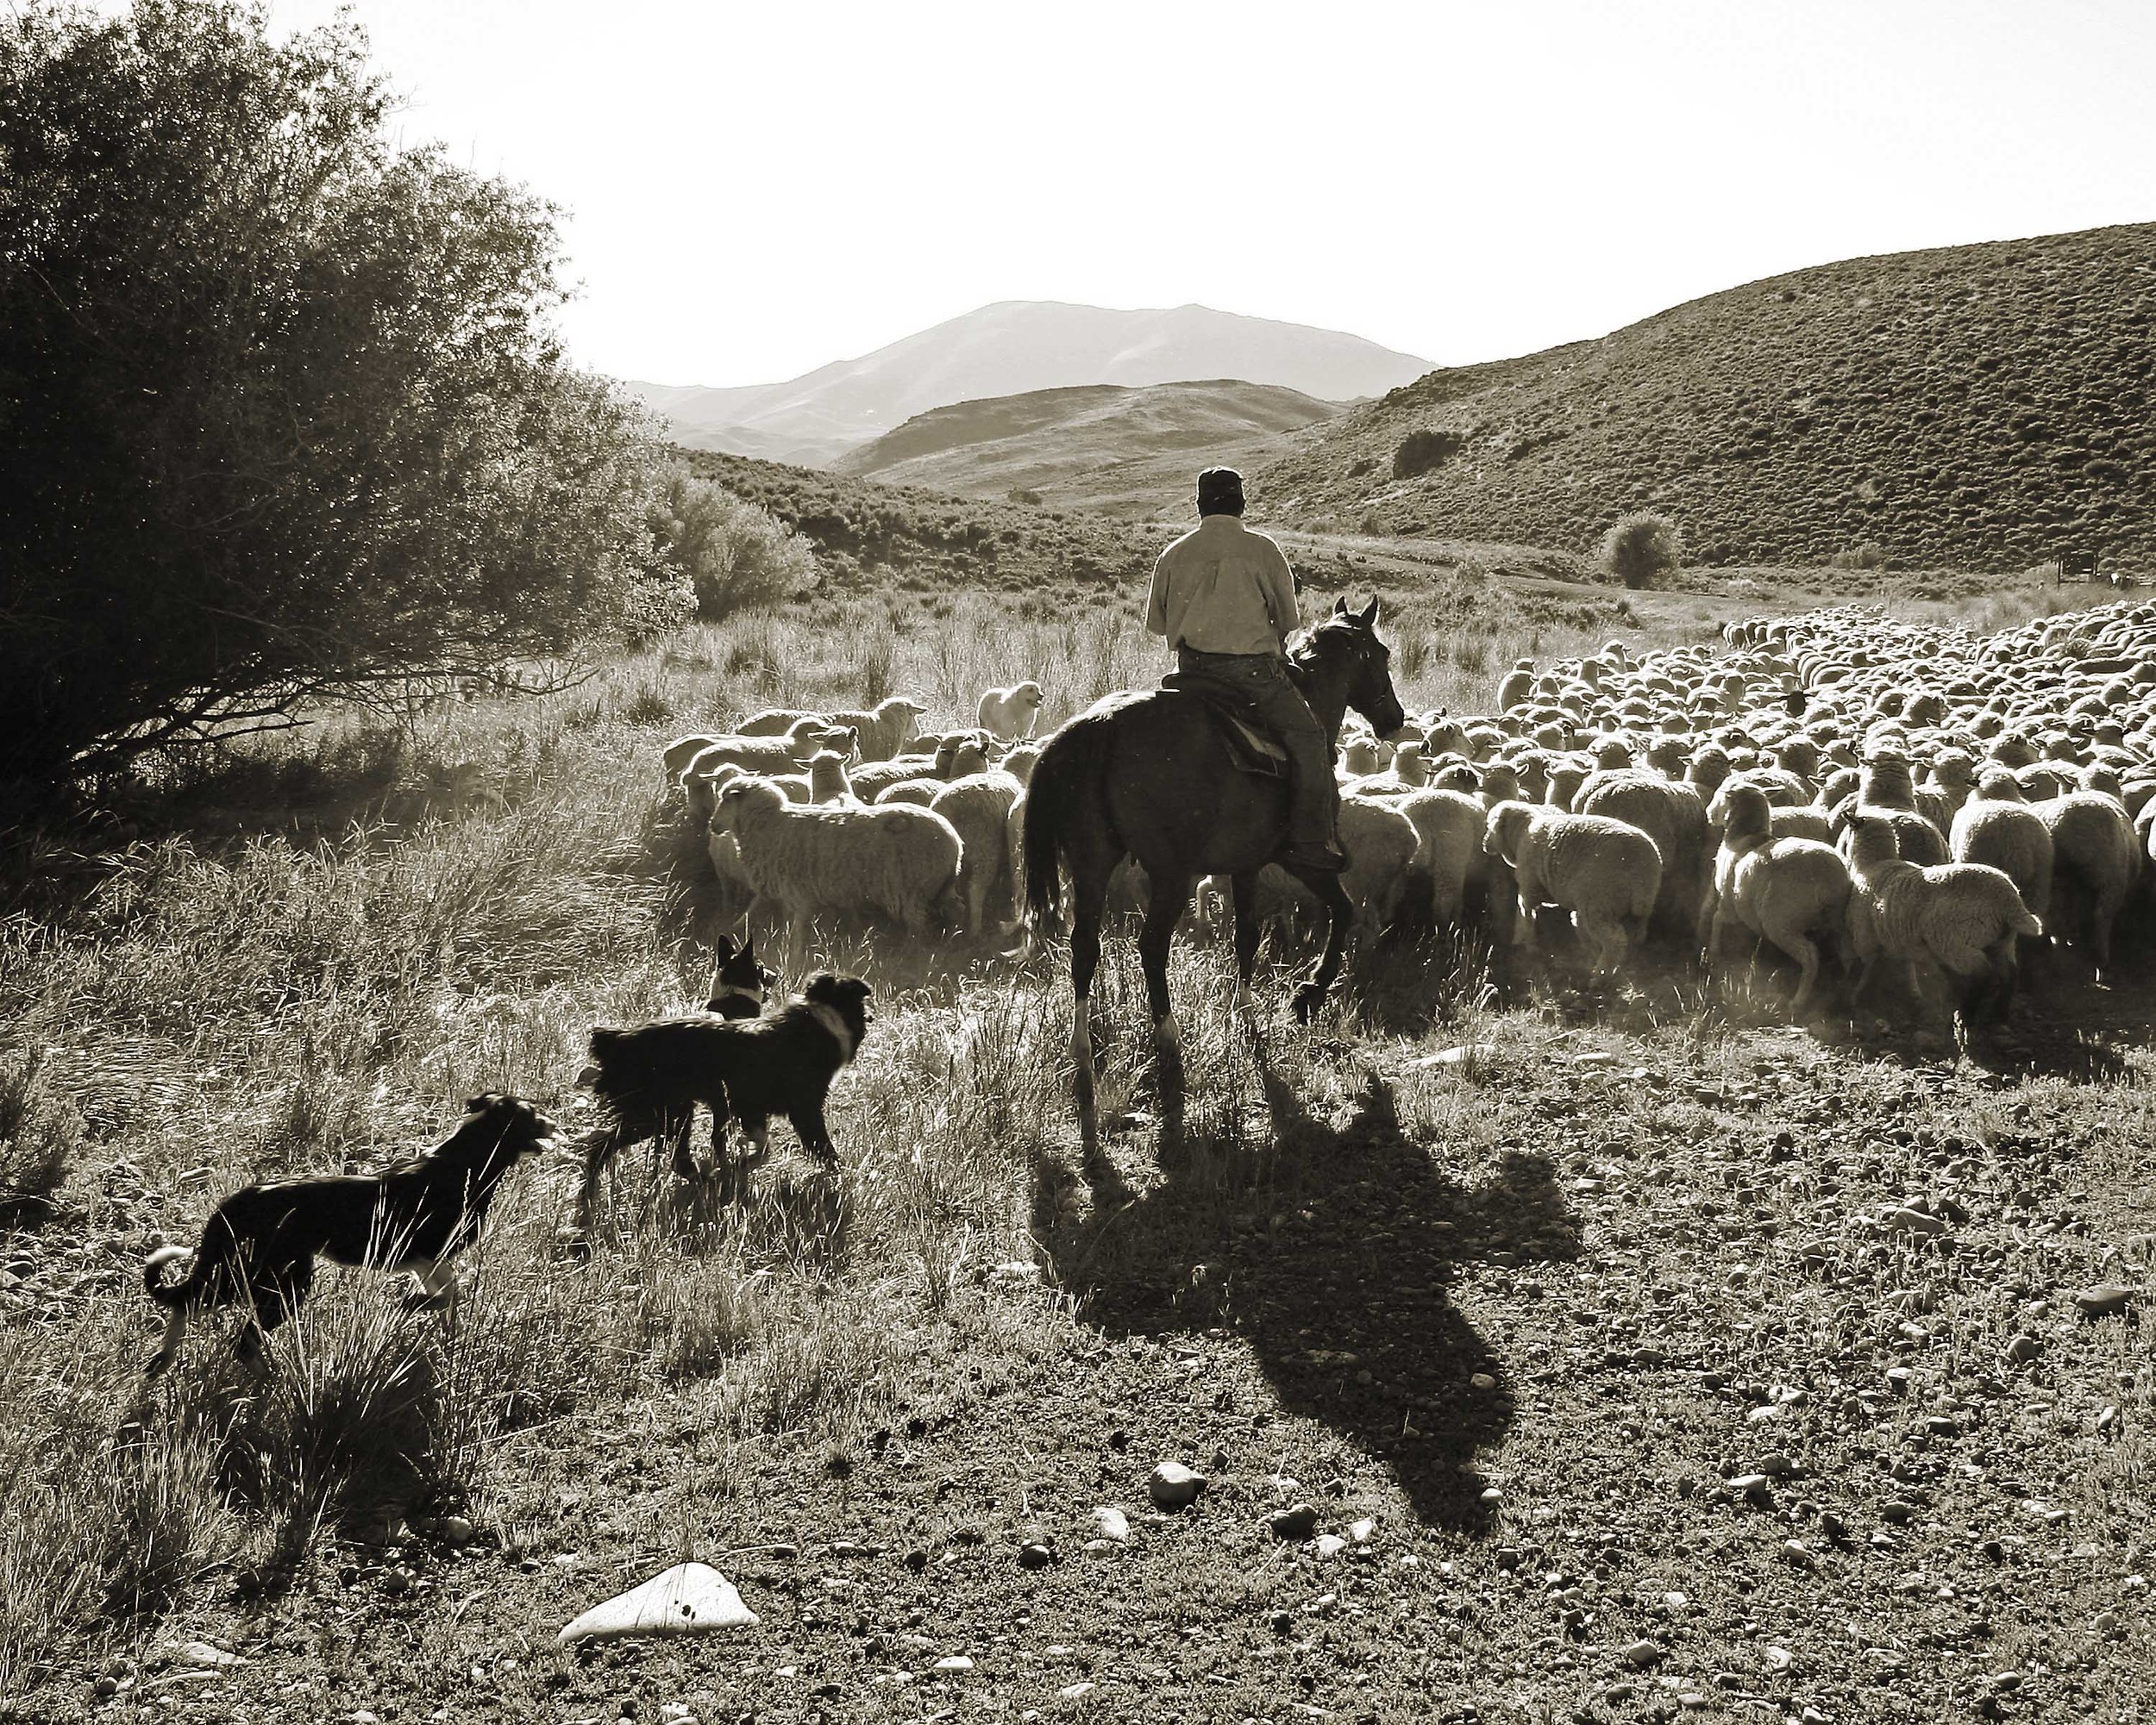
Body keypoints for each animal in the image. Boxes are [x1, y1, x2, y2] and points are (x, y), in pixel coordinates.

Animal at [710, 777, 962, 939]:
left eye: (725, 801)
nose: (713, 825)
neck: (768, 824)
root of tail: (954, 841)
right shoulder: (776, 890)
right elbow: (750, 914)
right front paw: (729, 930)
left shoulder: (797, 893)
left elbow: (796, 933)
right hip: (940, 886)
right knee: (954, 910)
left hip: (911, 889)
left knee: (918, 925)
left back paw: (914, 952)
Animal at [1482, 802, 1663, 977]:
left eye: (1490, 826)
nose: (1484, 844)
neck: (1521, 834)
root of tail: (1643, 865)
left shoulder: (1530, 886)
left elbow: (1526, 914)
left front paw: (1528, 945)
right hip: (1636, 909)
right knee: (1635, 936)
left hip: (1599, 901)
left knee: (1615, 940)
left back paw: (1600, 975)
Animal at [1700, 783, 1852, 1015]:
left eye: (1721, 794)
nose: (1708, 813)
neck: (1747, 837)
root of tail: (1827, 880)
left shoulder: (1731, 902)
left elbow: (1718, 918)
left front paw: (1714, 951)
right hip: (1839, 922)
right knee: (1846, 955)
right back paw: (1845, 992)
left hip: (1781, 922)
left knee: (1810, 956)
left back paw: (1798, 1001)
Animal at [1842, 815, 2042, 1035]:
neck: (1874, 864)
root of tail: (2009, 901)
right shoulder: (1900, 940)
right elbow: (1904, 968)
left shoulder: (1865, 938)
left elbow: (1866, 969)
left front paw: (1857, 998)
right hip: (2001, 942)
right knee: (2010, 975)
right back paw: (2000, 1014)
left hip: (1958, 942)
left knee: (1983, 976)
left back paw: (1967, 1015)